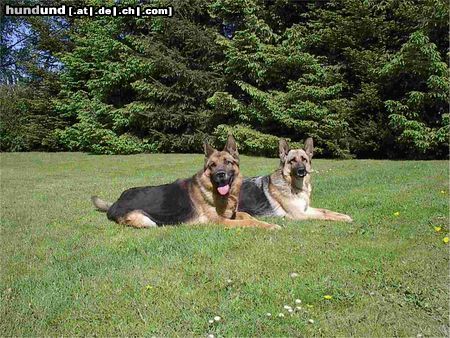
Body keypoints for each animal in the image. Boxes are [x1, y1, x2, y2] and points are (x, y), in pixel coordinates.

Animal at [92, 135, 282, 230]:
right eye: (212, 165)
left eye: (228, 162)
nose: (220, 175)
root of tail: (115, 202)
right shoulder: (220, 221)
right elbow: (248, 221)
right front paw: (270, 226)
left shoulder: (233, 214)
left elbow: (247, 216)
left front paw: (267, 223)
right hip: (146, 221)